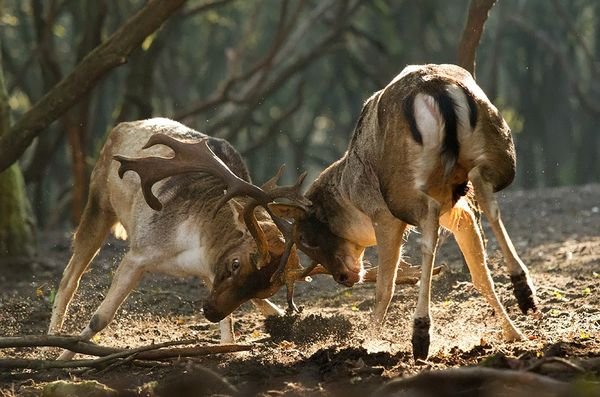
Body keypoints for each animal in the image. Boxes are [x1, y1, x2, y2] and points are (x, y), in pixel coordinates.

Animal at [270, 62, 536, 358]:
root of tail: (436, 88)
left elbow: (385, 287)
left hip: (404, 190)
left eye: (304, 238)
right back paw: (524, 292)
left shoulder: (383, 214)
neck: (350, 193)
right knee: (485, 192)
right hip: (499, 152)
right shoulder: (455, 209)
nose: (343, 278)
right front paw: (513, 333)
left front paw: (368, 341)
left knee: (429, 225)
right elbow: (480, 274)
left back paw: (420, 334)